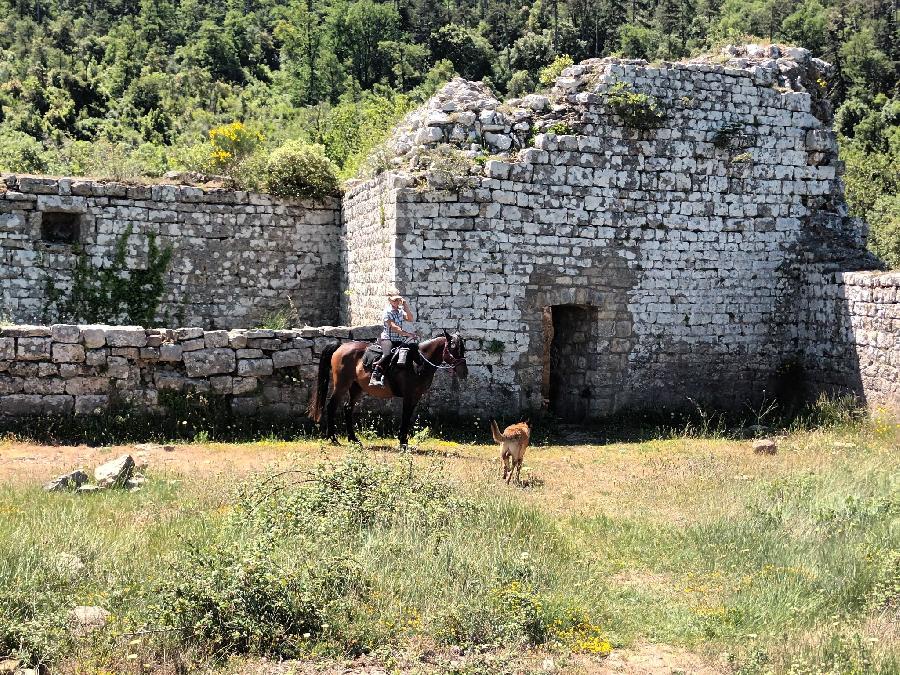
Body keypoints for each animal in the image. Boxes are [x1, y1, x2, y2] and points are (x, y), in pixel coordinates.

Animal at [308, 332, 468, 448]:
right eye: (453, 348)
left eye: (463, 349)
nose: (464, 372)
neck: (418, 363)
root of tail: (341, 346)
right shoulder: (409, 395)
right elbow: (405, 415)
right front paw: (403, 442)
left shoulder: (416, 396)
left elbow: (408, 416)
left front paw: (403, 441)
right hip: (342, 384)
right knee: (331, 406)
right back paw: (333, 438)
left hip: (356, 387)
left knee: (348, 408)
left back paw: (353, 439)